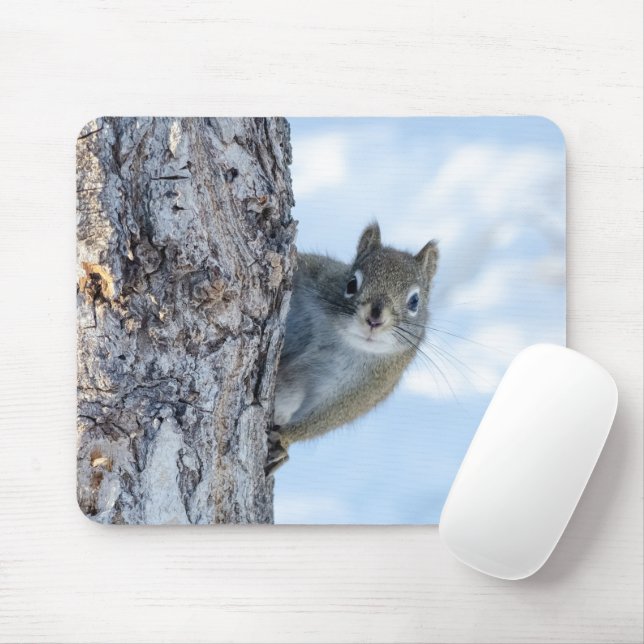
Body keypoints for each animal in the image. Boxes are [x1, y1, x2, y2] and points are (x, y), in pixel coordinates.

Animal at [266, 222, 439, 475]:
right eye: (351, 284)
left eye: (415, 301)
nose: (374, 319)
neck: (342, 339)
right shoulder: (316, 274)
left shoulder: (368, 386)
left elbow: (330, 416)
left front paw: (285, 440)